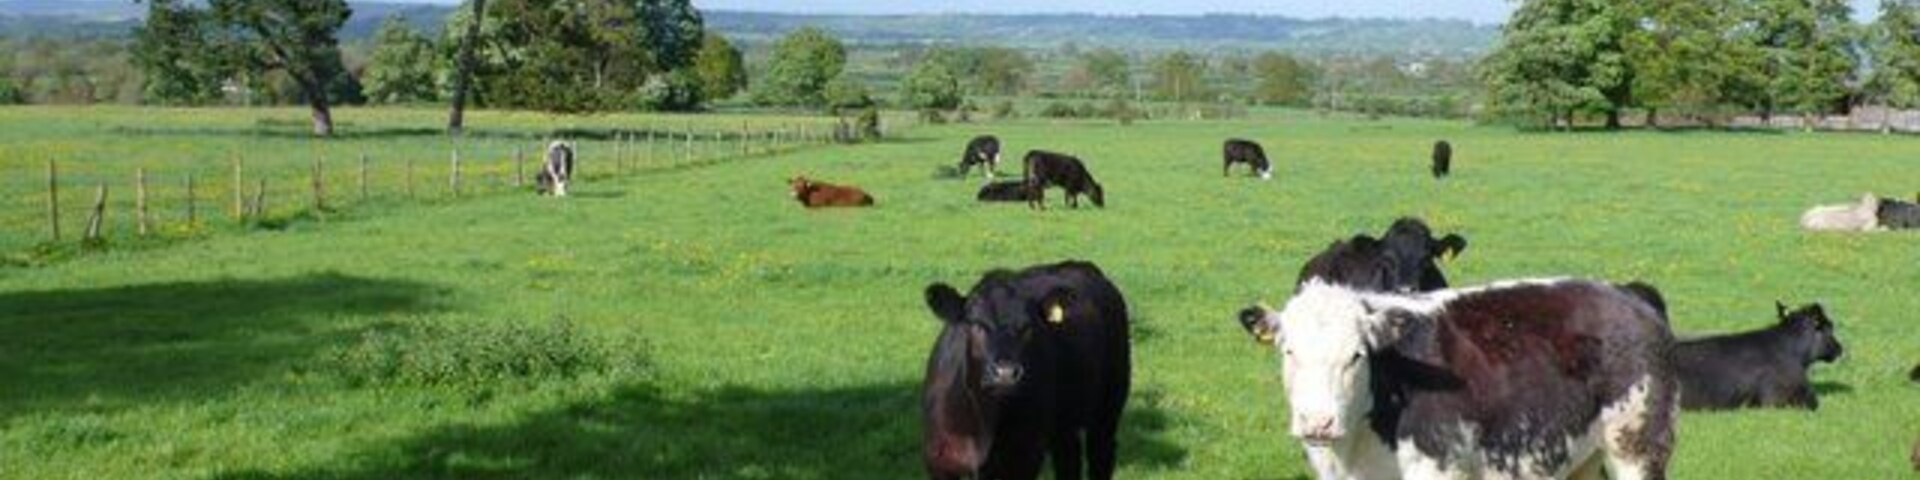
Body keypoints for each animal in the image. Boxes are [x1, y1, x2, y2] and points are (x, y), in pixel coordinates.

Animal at [921, 261, 1132, 480]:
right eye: (976, 325)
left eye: (1028, 327)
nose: (1005, 373)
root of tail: (1078, 265)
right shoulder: (940, 461)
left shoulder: (1025, 459)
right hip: (1064, 422)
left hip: (1109, 405)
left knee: (1101, 454)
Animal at [1236, 278, 1678, 480]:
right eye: (1289, 352)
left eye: (1356, 356)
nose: (1318, 422)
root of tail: (1628, 293)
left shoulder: (1437, 468)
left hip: (1637, 449)